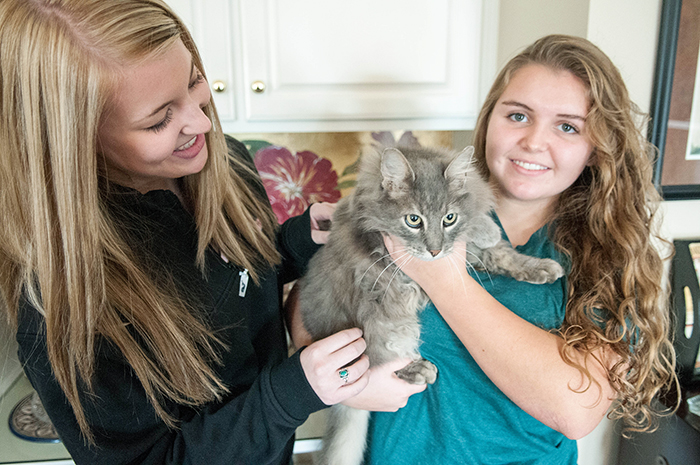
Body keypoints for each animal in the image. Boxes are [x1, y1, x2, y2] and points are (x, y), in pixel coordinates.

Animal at [300, 145, 564, 464]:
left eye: (449, 218)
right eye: (413, 220)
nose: (435, 251)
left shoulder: (470, 247)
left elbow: (502, 251)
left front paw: (537, 264)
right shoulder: (359, 219)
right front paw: (490, 231)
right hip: (383, 315)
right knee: (379, 359)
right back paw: (416, 370)